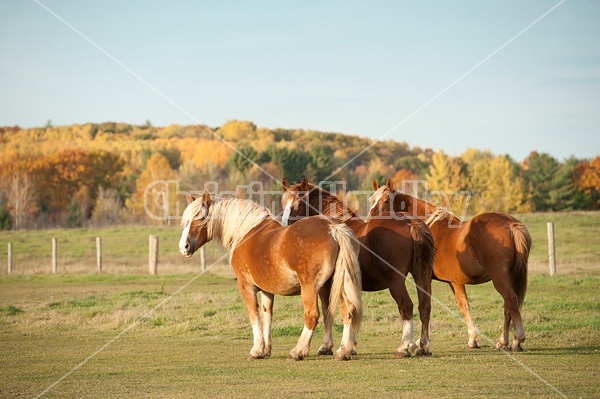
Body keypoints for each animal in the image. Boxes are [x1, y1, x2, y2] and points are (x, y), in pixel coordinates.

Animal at [178, 192, 364, 360]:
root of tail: (333, 228)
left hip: (311, 288)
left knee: (312, 315)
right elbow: (267, 315)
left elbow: (254, 315)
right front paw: (266, 350)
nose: (184, 247)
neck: (246, 232)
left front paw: (257, 349)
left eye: (200, 218)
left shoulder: (246, 287)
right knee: (347, 311)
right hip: (336, 284)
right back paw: (343, 351)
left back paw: (298, 351)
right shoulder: (267, 290)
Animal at [282, 179, 436, 360]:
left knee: (406, 306)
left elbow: (329, 312)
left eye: (299, 203)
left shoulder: (325, 286)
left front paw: (329, 346)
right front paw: (350, 345)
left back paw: (405, 346)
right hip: (423, 275)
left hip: (396, 281)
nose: (284, 227)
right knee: (425, 306)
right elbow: (350, 310)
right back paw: (423, 346)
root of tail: (411, 223)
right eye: (283, 202)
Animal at [370, 180, 536, 352]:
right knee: (508, 306)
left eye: (386, 201)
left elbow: (428, 306)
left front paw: (421, 342)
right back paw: (504, 341)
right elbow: (464, 306)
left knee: (510, 300)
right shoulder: (455, 282)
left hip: (500, 277)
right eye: (371, 200)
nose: (370, 220)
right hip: (510, 276)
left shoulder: (428, 277)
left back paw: (516, 340)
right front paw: (473, 339)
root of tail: (511, 224)